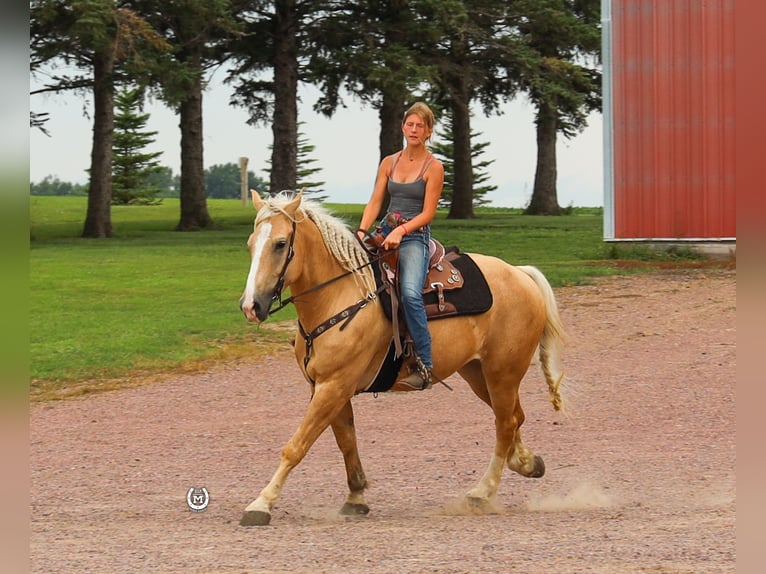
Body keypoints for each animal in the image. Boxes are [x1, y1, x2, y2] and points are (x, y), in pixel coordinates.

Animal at [238, 190, 566, 526]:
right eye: (251, 243)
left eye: (280, 244)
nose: (251, 306)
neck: (341, 296)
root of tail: (520, 273)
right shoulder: (327, 387)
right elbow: (347, 442)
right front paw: (356, 497)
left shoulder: (334, 386)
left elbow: (296, 445)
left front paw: (261, 503)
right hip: (479, 373)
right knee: (515, 418)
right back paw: (527, 463)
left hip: (503, 372)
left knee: (505, 424)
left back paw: (481, 492)